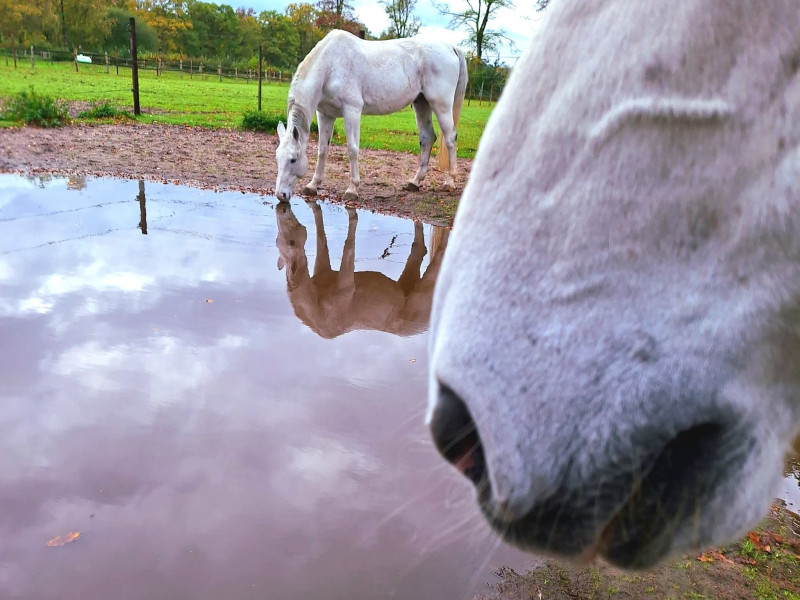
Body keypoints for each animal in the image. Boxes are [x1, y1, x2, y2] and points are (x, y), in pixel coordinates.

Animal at [274, 30, 468, 203]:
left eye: (293, 159)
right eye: (277, 158)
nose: (280, 195)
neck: (330, 65)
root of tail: (450, 47)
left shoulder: (352, 110)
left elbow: (352, 150)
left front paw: (352, 189)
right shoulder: (325, 114)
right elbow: (322, 150)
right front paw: (313, 185)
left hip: (441, 105)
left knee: (450, 139)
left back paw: (449, 182)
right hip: (421, 103)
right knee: (427, 138)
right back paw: (415, 182)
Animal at [275, 202, 448, 338]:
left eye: (291, 242)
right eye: (277, 241)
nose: (281, 208)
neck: (320, 310)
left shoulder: (345, 284)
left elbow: (348, 245)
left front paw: (352, 213)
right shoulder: (323, 268)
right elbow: (321, 237)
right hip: (408, 282)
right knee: (419, 249)